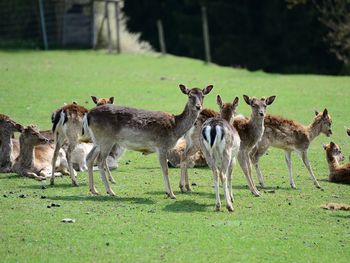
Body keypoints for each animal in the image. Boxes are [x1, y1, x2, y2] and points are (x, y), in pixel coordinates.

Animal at [84, 84, 213, 198]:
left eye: (203, 95)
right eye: (190, 95)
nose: (198, 106)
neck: (175, 127)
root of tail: (88, 115)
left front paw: (168, 192)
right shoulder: (161, 146)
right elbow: (165, 169)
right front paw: (171, 194)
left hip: (97, 141)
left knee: (89, 158)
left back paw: (94, 190)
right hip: (106, 140)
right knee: (100, 161)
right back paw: (110, 191)